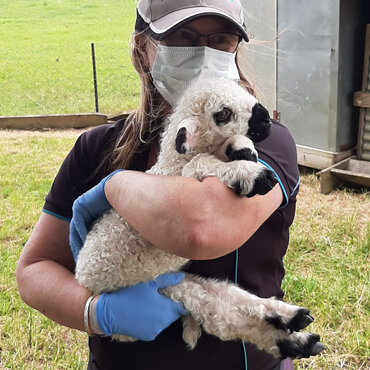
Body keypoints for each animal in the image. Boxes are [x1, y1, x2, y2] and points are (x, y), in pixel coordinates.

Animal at [75, 77, 324, 358]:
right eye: (223, 113)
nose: (265, 117)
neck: (171, 164)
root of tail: (81, 275)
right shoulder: (184, 179)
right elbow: (201, 162)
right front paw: (250, 175)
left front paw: (243, 149)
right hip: (151, 286)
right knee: (216, 309)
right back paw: (289, 336)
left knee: (224, 294)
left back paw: (292, 324)